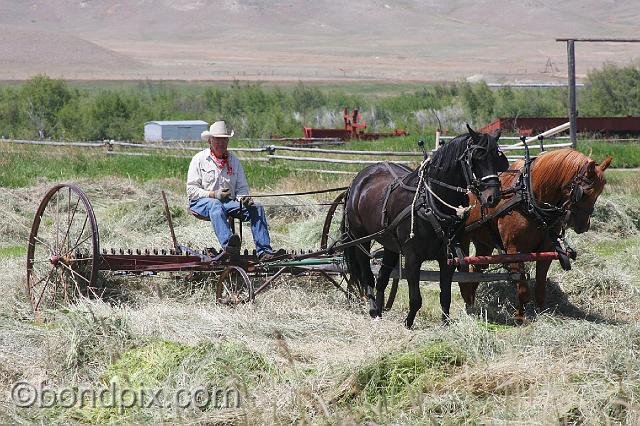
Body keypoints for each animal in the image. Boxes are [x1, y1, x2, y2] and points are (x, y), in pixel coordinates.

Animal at [342, 125, 508, 328]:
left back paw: (379, 311)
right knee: (367, 274)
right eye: (476, 157)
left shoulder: (447, 258)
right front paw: (408, 324)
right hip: (359, 239)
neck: (431, 202)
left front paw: (445, 324)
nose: (493, 197)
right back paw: (373, 309)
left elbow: (445, 296)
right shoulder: (412, 257)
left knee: (382, 278)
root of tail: (359, 179)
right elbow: (416, 299)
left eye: (497, 157)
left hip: (390, 244)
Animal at [460, 147, 608, 320]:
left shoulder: (547, 250)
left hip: (485, 244)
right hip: (462, 239)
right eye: (584, 193)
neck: (529, 200)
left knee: (476, 271)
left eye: (599, 192)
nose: (584, 225)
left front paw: (541, 312)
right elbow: (523, 289)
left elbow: (540, 286)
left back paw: (470, 301)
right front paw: (520, 317)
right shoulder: (514, 250)